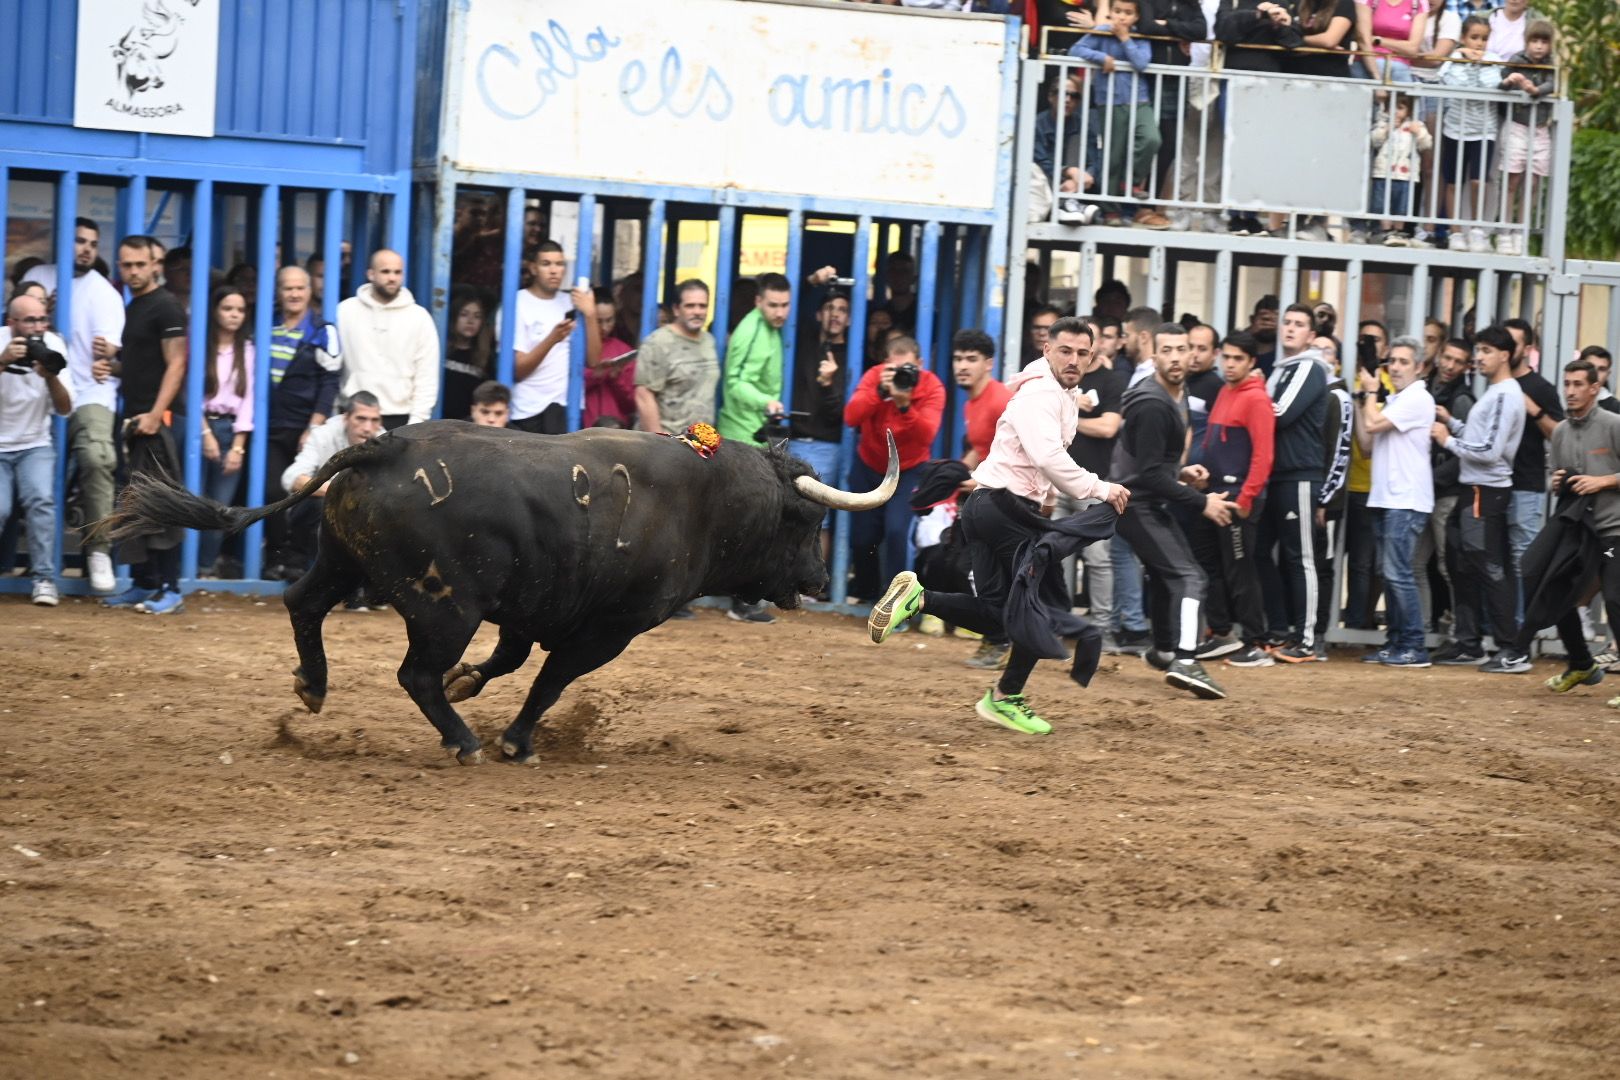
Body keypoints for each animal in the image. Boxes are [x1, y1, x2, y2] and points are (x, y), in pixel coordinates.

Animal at [99, 424, 900, 767]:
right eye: (808, 522)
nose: (817, 581)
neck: (708, 498)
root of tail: (387, 444)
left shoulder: (531, 606)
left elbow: (510, 660)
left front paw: (474, 683)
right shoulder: (606, 630)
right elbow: (547, 683)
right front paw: (517, 739)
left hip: (344, 563)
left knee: (304, 602)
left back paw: (314, 687)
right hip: (444, 607)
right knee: (413, 673)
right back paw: (464, 743)